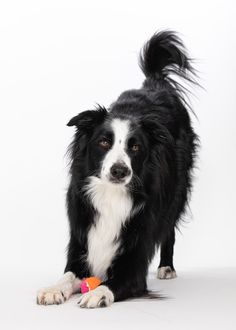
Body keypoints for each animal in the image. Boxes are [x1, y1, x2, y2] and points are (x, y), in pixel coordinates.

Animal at [37, 30, 198, 306]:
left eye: (135, 147)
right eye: (104, 142)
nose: (119, 171)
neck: (110, 196)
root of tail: (155, 84)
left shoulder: (134, 263)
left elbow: (112, 283)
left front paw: (96, 293)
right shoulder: (81, 242)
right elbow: (67, 276)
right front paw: (53, 289)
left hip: (176, 192)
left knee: (169, 228)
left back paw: (167, 267)